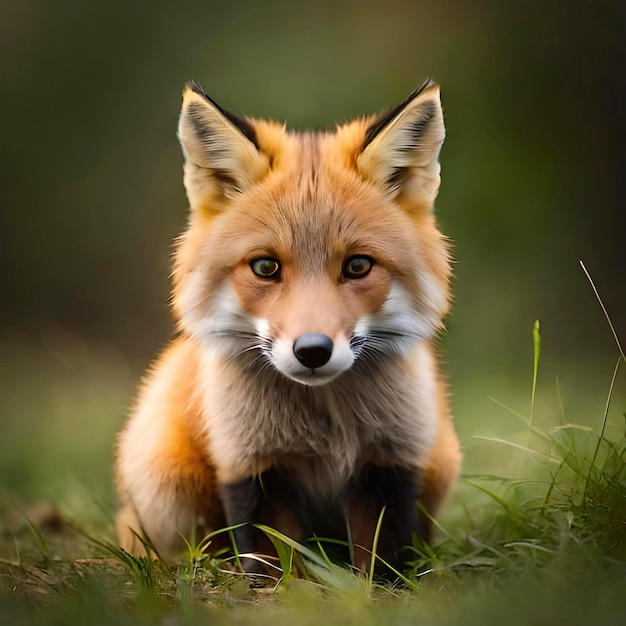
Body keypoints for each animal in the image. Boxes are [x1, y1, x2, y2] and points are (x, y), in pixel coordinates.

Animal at [114, 79, 460, 576]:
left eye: (357, 266)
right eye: (265, 267)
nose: (312, 350)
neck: (325, 426)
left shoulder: (391, 461)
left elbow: (380, 559)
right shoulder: (252, 465)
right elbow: (274, 562)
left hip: (441, 464)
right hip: (166, 483)